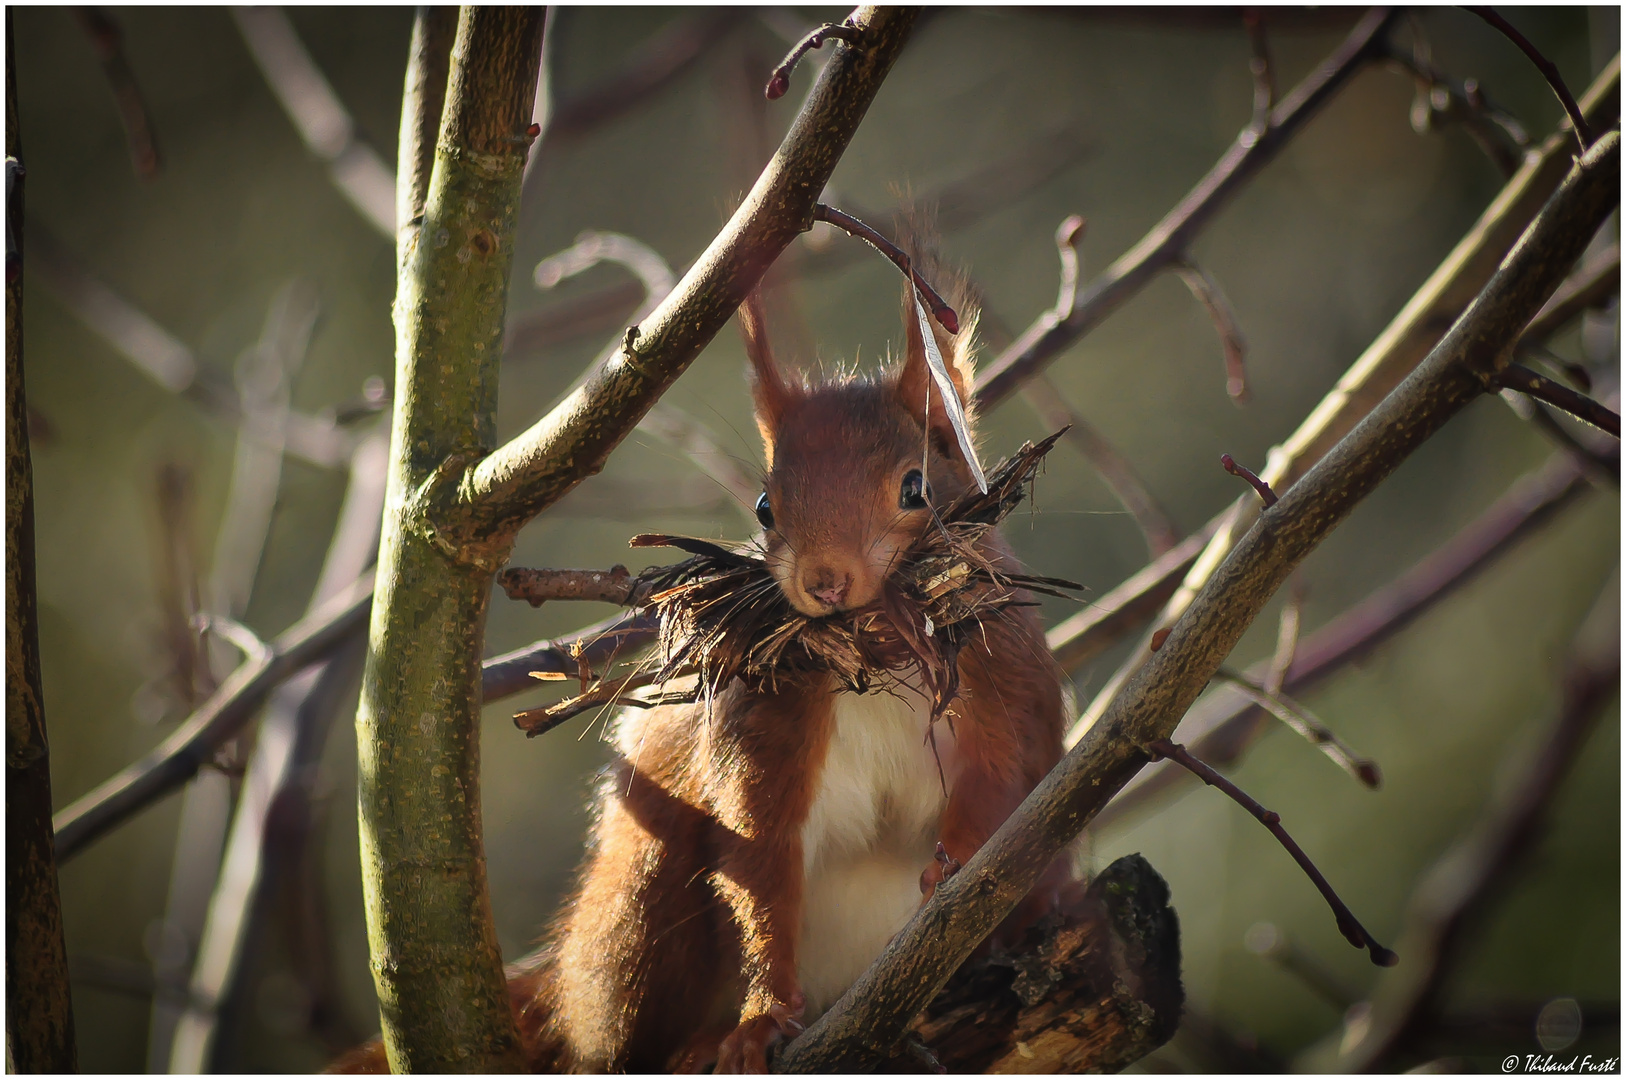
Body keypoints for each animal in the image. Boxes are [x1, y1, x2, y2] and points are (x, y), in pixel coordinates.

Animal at [336, 255, 1073, 1073]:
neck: (874, 653)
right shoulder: (764, 731)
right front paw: (760, 1018)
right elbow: (758, 862)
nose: (824, 581)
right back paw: (694, 1043)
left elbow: (1006, 774)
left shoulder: (1006, 680)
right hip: (641, 904)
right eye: (764, 507)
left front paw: (959, 860)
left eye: (916, 488)